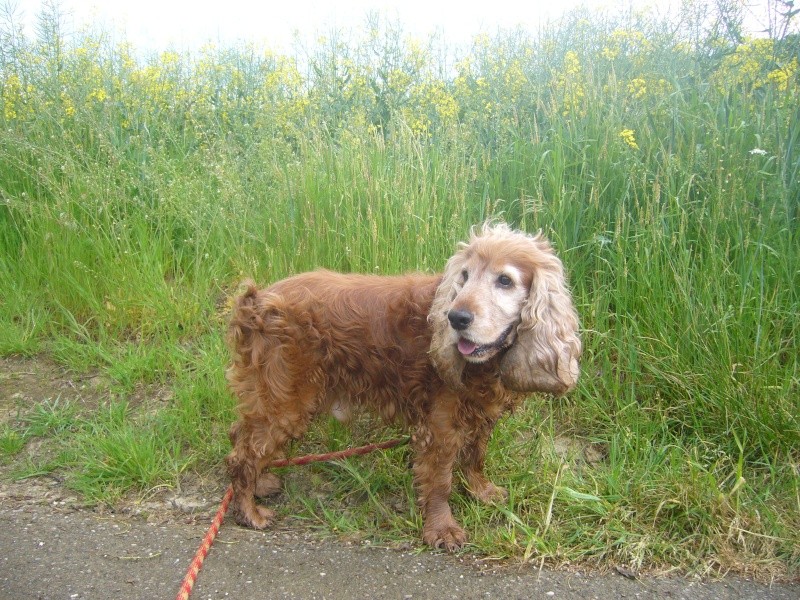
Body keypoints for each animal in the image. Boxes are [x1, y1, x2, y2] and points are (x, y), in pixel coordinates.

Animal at [225, 223, 580, 552]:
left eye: (505, 280)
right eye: (464, 276)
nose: (456, 318)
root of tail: (256, 301)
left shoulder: (481, 414)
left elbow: (475, 456)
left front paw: (481, 492)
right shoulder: (440, 426)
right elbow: (440, 481)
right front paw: (442, 529)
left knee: (240, 435)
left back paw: (262, 482)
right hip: (286, 399)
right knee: (242, 455)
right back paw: (250, 511)